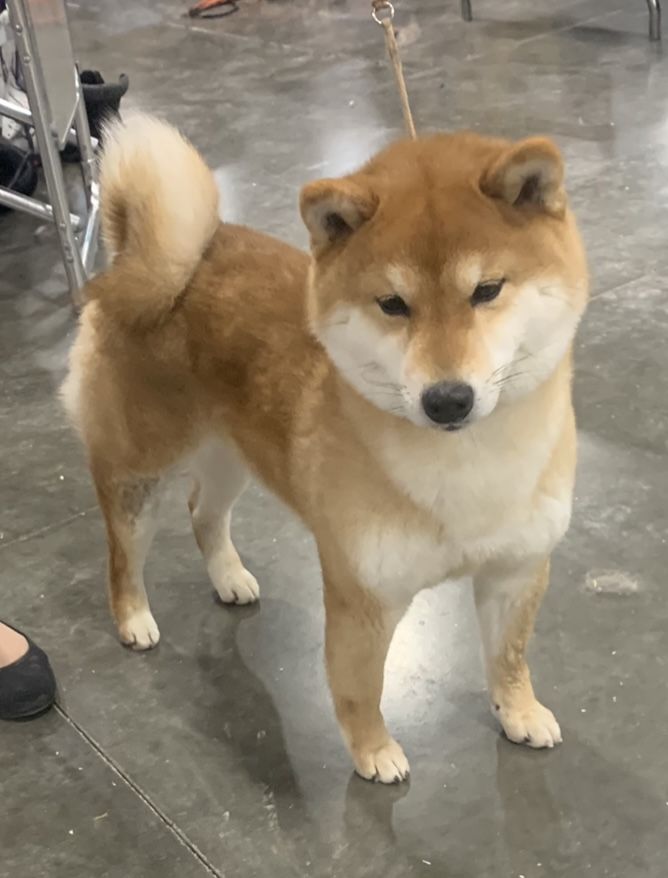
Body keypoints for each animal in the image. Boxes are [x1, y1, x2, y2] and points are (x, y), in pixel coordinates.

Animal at [62, 115, 588, 783]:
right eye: (393, 304)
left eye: (487, 290)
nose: (447, 400)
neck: (470, 466)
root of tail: (142, 264)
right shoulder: (363, 595)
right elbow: (360, 688)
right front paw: (373, 751)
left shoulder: (517, 570)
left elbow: (509, 655)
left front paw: (518, 710)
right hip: (140, 467)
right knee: (123, 550)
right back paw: (133, 616)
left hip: (232, 454)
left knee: (203, 511)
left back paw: (229, 577)